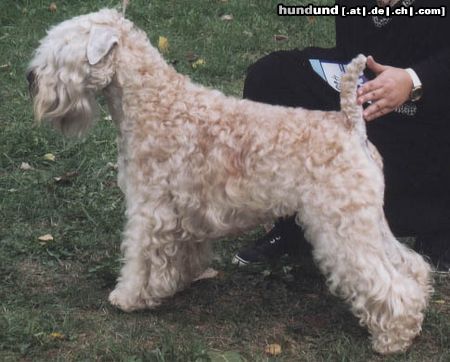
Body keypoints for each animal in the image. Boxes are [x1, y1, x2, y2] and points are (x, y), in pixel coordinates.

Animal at [28, 7, 432, 354]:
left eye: (63, 49)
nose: (31, 78)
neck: (153, 101)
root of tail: (350, 123)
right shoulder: (183, 212)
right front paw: (178, 282)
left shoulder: (149, 209)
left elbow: (140, 259)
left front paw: (129, 297)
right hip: (367, 219)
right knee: (410, 265)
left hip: (342, 226)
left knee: (386, 281)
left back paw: (393, 338)